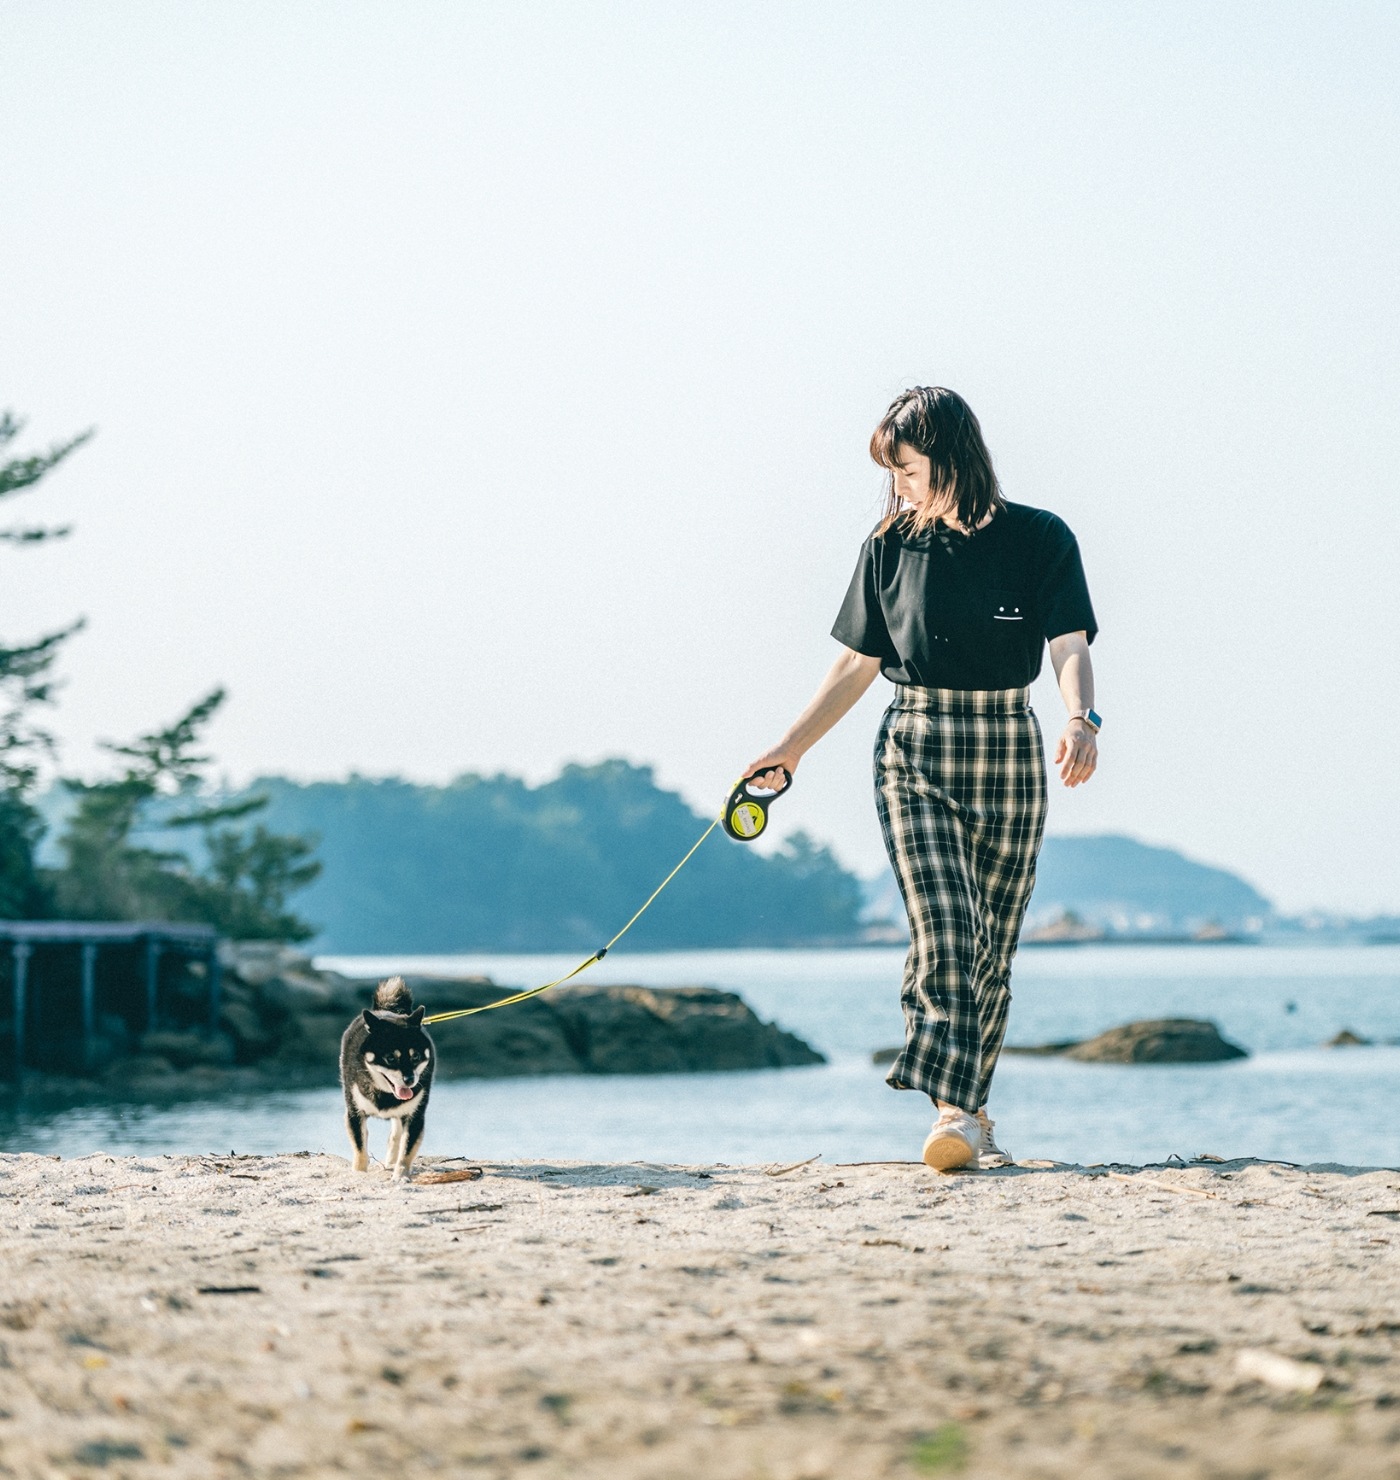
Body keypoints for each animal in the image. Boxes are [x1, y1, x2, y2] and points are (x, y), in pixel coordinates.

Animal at [338, 970, 432, 1178]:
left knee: (395, 1135)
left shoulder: (415, 1117)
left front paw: (401, 1175)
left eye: (415, 1057)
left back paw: (391, 1161)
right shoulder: (355, 1113)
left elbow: (406, 1150)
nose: (410, 1080)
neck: (384, 1093)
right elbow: (360, 1149)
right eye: (390, 1058)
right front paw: (359, 1173)